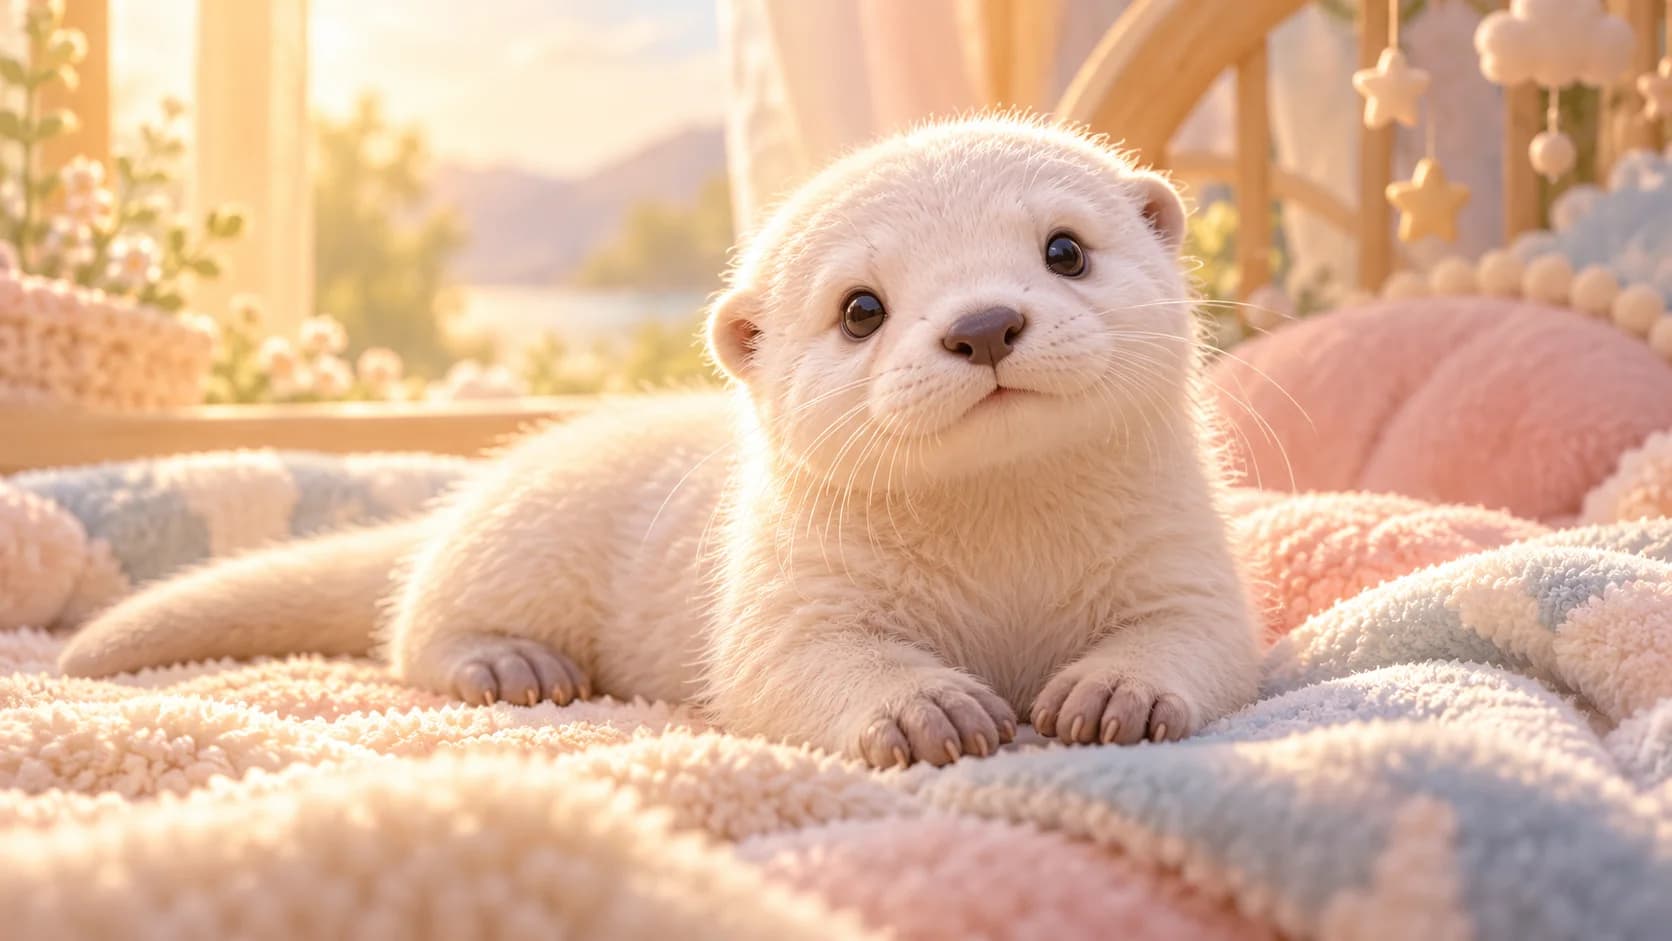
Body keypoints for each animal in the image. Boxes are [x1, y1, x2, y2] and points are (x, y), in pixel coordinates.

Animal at [60, 116, 1260, 767]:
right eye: (860, 308)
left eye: (1065, 249)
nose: (983, 323)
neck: (1006, 564)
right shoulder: (786, 591)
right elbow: (786, 665)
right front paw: (921, 703)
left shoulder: (1186, 559)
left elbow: (1203, 638)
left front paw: (1114, 691)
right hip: (513, 540)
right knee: (411, 624)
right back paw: (508, 661)